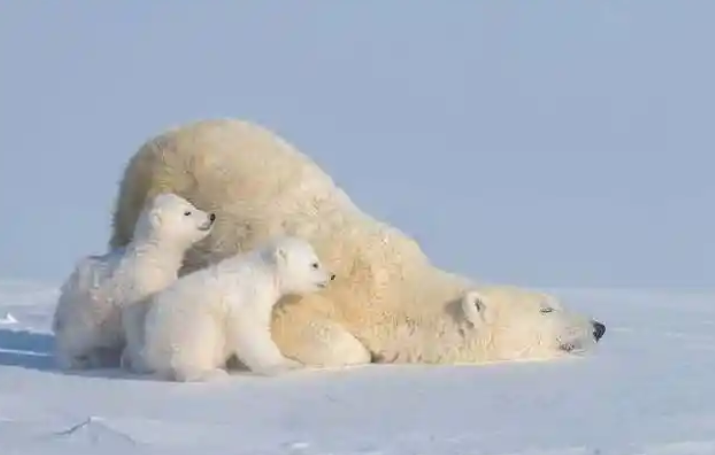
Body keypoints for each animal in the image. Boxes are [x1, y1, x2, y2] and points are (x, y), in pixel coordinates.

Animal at [52, 192, 215, 370]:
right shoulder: (136, 288)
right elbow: (135, 321)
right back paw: (74, 361)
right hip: (84, 312)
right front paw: (140, 362)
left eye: (191, 205)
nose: (211, 216)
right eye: (187, 212)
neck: (152, 258)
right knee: (74, 339)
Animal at [126, 236, 335, 382]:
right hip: (188, 318)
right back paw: (208, 373)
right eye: (314, 264)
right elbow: (252, 331)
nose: (332, 275)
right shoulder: (246, 297)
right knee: (194, 340)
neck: (263, 272)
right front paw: (285, 365)